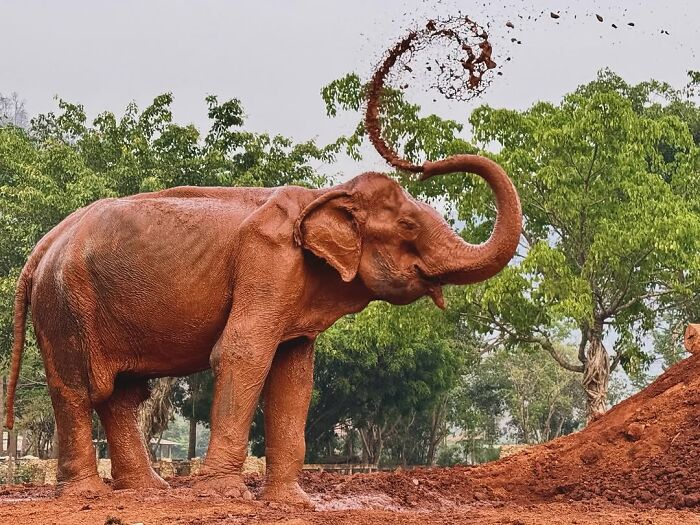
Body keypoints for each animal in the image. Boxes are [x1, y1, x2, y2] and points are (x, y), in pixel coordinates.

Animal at [4, 151, 520, 504]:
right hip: (65, 305)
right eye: (409, 225)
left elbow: (295, 375)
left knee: (122, 394)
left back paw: (148, 492)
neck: (322, 195)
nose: (425, 165)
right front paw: (222, 495)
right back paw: (87, 497)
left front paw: (293, 502)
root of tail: (45, 241)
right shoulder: (267, 262)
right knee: (77, 389)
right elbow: (242, 351)